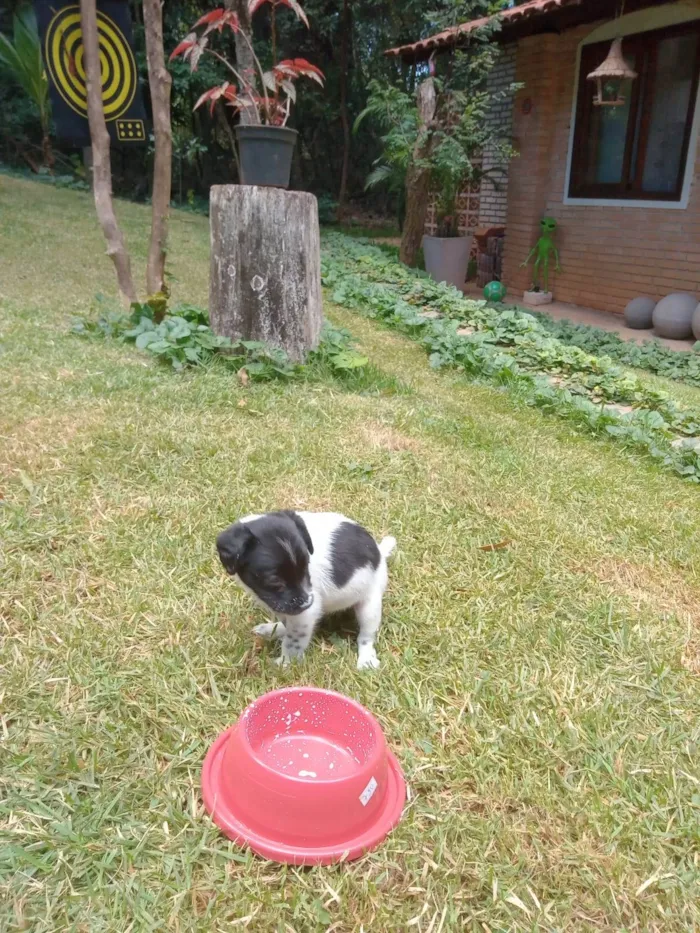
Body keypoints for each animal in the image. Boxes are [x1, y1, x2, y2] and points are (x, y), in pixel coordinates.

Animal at [216, 510, 396, 668]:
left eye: (306, 567)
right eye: (274, 580)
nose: (307, 603)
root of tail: (380, 552)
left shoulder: (305, 614)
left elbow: (293, 642)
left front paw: (285, 663)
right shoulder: (287, 607)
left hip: (370, 606)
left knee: (366, 636)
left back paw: (366, 659)